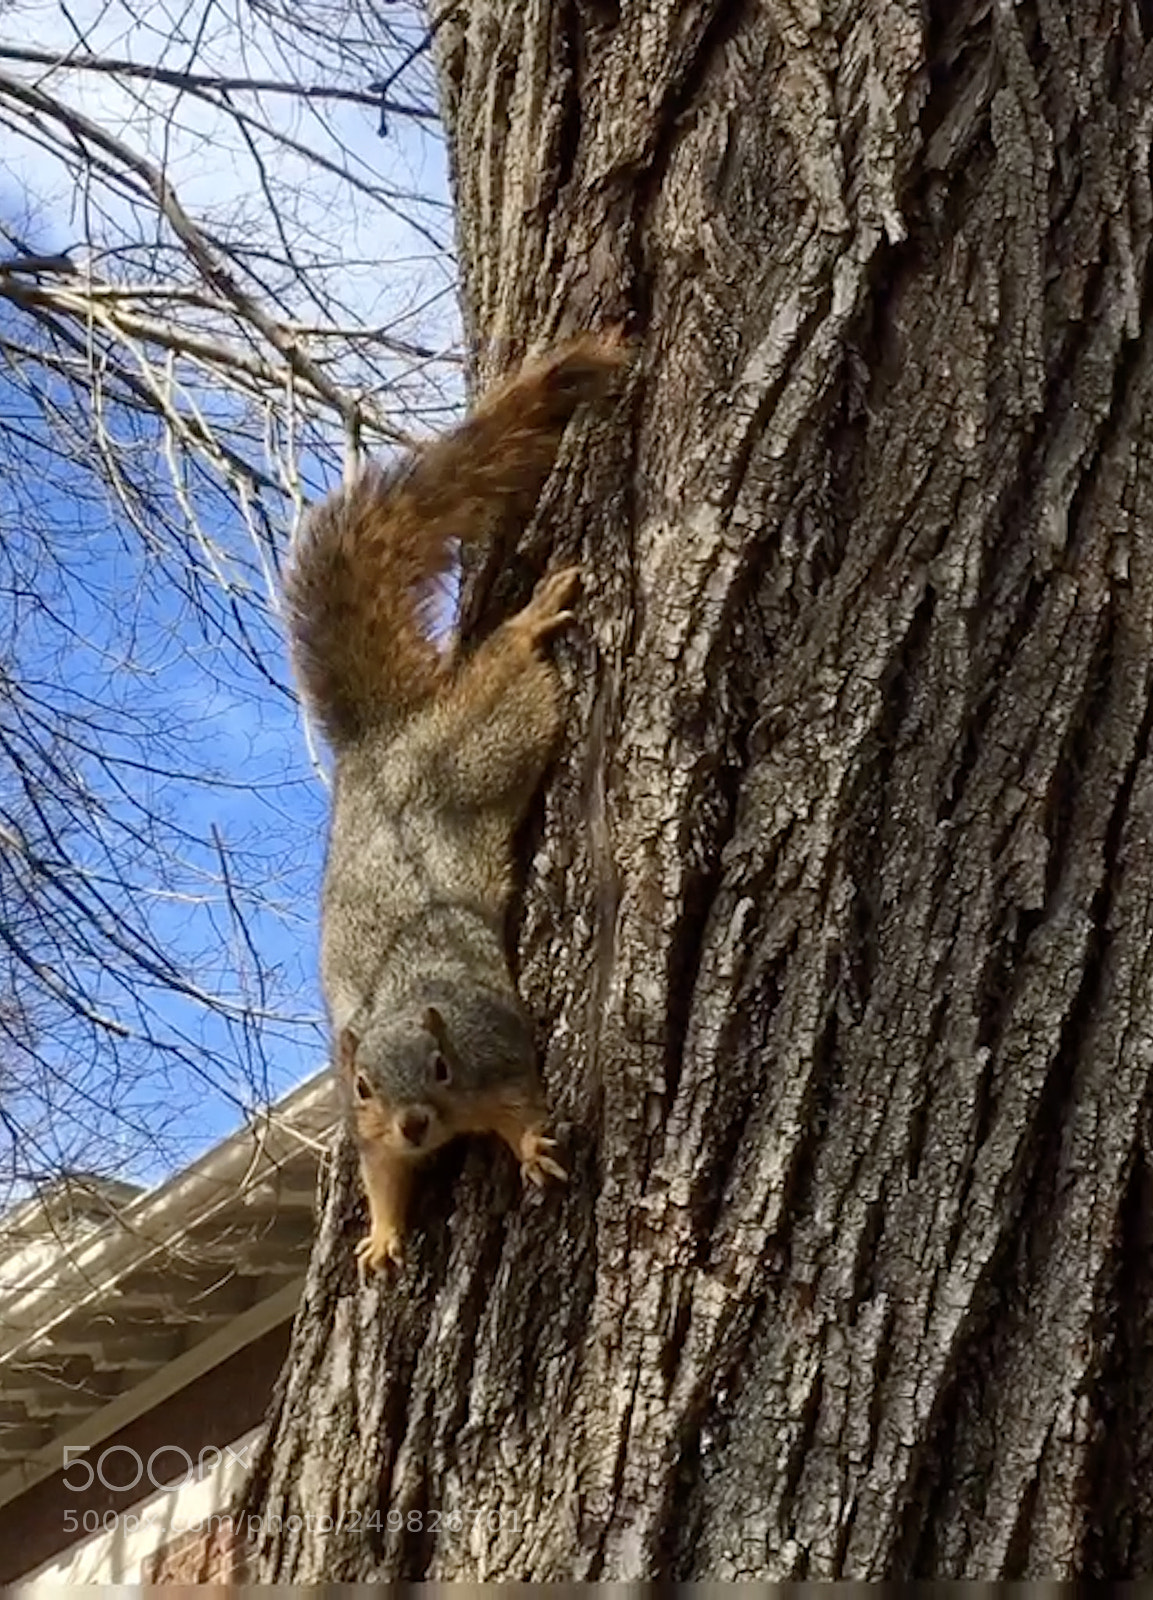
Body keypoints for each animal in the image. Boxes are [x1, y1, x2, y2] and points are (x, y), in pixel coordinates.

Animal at [285, 335, 625, 1278]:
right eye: (363, 1086)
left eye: (441, 1067)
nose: (413, 1123)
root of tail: (383, 738)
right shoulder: (368, 1135)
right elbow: (382, 1180)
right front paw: (382, 1237)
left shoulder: (499, 1054)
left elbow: (522, 1106)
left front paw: (534, 1149)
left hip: (495, 739)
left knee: (506, 671)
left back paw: (528, 622)